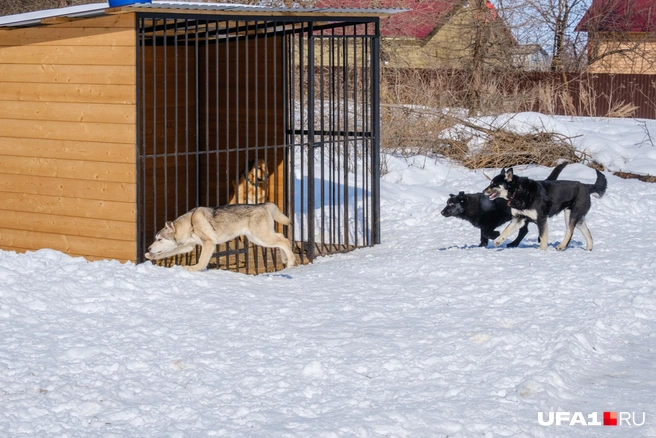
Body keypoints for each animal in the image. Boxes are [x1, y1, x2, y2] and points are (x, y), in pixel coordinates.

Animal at [147, 202, 296, 270]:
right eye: (155, 238)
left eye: (159, 239)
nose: (148, 248)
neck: (190, 224)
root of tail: (263, 205)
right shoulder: (189, 246)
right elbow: (166, 253)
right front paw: (150, 256)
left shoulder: (208, 242)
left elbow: (202, 261)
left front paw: (193, 268)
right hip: (258, 238)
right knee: (282, 237)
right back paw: (285, 259)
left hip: (261, 238)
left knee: (284, 241)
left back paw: (290, 262)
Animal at [440, 163, 568, 248]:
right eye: (447, 203)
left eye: (451, 204)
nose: (442, 212)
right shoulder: (483, 225)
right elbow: (483, 236)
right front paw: (482, 246)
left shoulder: (490, 223)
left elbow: (486, 234)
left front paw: (495, 235)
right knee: (524, 231)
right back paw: (514, 243)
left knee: (527, 230)